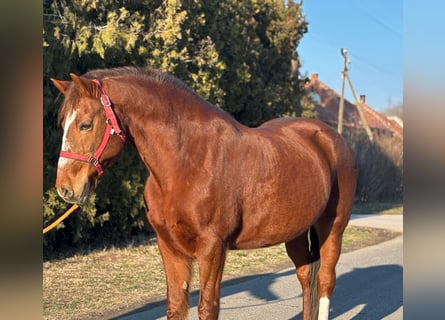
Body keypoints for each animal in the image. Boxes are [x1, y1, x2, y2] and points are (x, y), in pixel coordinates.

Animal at [52, 66, 358, 318]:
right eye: (62, 124)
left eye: (86, 124)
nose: (65, 188)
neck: (187, 162)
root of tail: (330, 137)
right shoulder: (169, 246)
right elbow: (176, 306)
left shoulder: (212, 248)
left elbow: (207, 307)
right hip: (294, 231)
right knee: (307, 278)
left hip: (332, 227)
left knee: (326, 280)